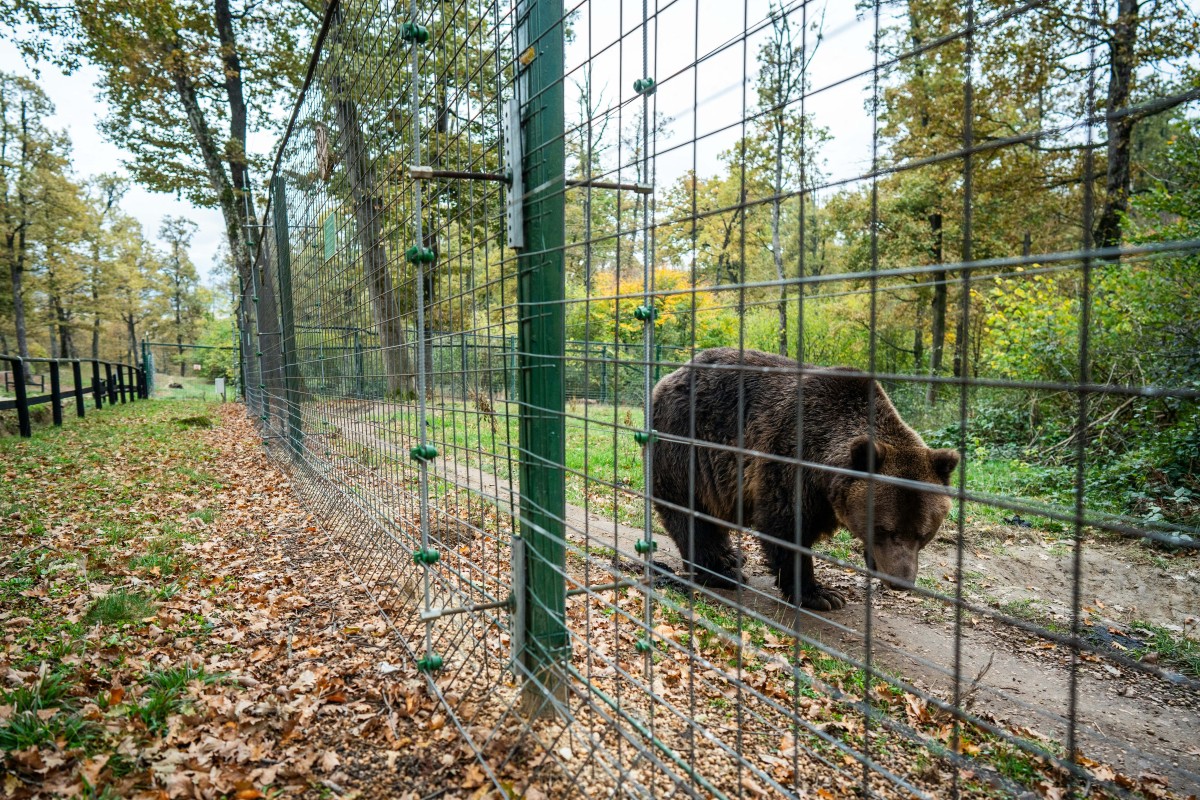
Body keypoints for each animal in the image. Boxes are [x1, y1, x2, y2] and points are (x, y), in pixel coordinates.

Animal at [649, 347, 959, 611]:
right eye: (885, 529)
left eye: (923, 533)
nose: (901, 582)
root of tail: (669, 376)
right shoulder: (789, 458)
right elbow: (786, 526)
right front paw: (821, 594)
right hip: (687, 445)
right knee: (688, 512)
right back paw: (720, 572)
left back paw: (730, 556)